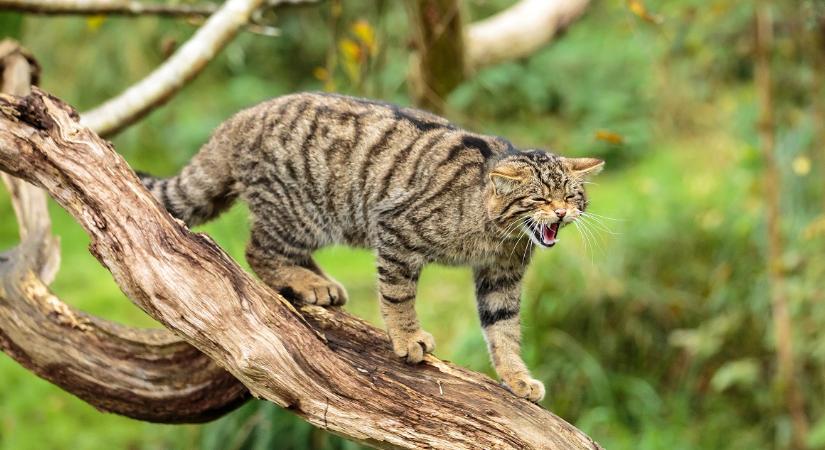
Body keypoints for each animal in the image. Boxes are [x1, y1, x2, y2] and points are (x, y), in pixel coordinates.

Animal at [138, 93, 600, 402]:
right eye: (539, 199)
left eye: (571, 196)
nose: (561, 213)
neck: (497, 232)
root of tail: (238, 119)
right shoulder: (396, 232)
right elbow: (398, 297)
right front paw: (407, 337)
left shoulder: (502, 277)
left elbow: (504, 330)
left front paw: (516, 378)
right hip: (300, 214)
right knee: (260, 250)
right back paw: (307, 283)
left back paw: (319, 283)